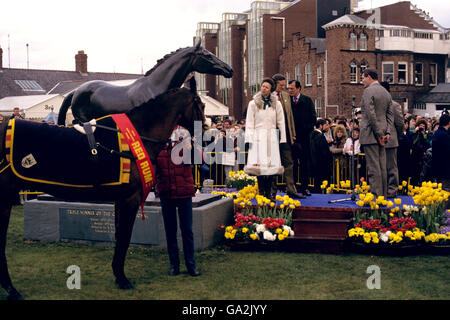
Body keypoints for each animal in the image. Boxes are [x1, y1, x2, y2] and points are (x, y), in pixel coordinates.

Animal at [0, 79, 206, 298]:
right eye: (200, 105)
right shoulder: (130, 198)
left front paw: (117, 274)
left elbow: (118, 236)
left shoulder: (120, 199)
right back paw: (11, 289)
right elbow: (124, 237)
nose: (205, 131)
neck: (138, 134)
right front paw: (122, 278)